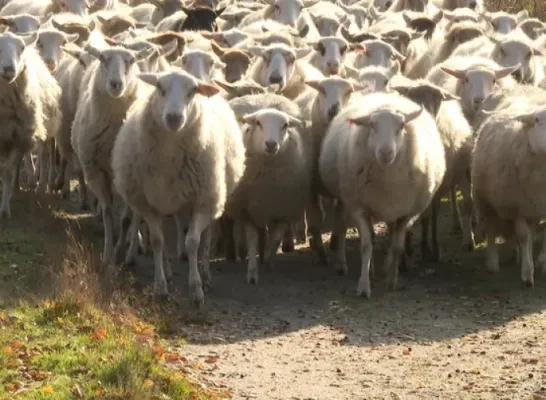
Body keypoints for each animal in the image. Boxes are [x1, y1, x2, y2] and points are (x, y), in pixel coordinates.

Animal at [70, 44, 154, 266]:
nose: (116, 84)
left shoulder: (127, 177)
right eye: (102, 58)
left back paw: (133, 247)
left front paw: (120, 252)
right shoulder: (96, 172)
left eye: (131, 60)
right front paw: (108, 254)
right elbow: (108, 212)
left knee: (135, 214)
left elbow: (126, 218)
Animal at [112, 68, 244, 306]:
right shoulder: (149, 204)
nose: (174, 118)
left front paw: (196, 289)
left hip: (212, 197)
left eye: (193, 91)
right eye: (160, 88)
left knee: (207, 237)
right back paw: (168, 271)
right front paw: (160, 288)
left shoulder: (202, 201)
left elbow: (192, 242)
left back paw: (206, 275)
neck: (169, 156)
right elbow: (157, 241)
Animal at [316, 90, 444, 296]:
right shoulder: (360, 207)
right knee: (342, 226)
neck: (387, 181)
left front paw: (392, 279)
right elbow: (366, 245)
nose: (386, 152)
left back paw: (385, 266)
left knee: (390, 234)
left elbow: (398, 246)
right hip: (346, 198)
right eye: (372, 125)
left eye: (401, 126)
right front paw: (364, 286)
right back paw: (345, 264)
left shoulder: (406, 213)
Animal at [468, 103, 546, 288]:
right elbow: (523, 237)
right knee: (491, 229)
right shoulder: (517, 206)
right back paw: (493, 264)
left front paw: (541, 263)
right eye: (536, 120)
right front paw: (527, 274)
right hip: (486, 201)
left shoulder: (536, 206)